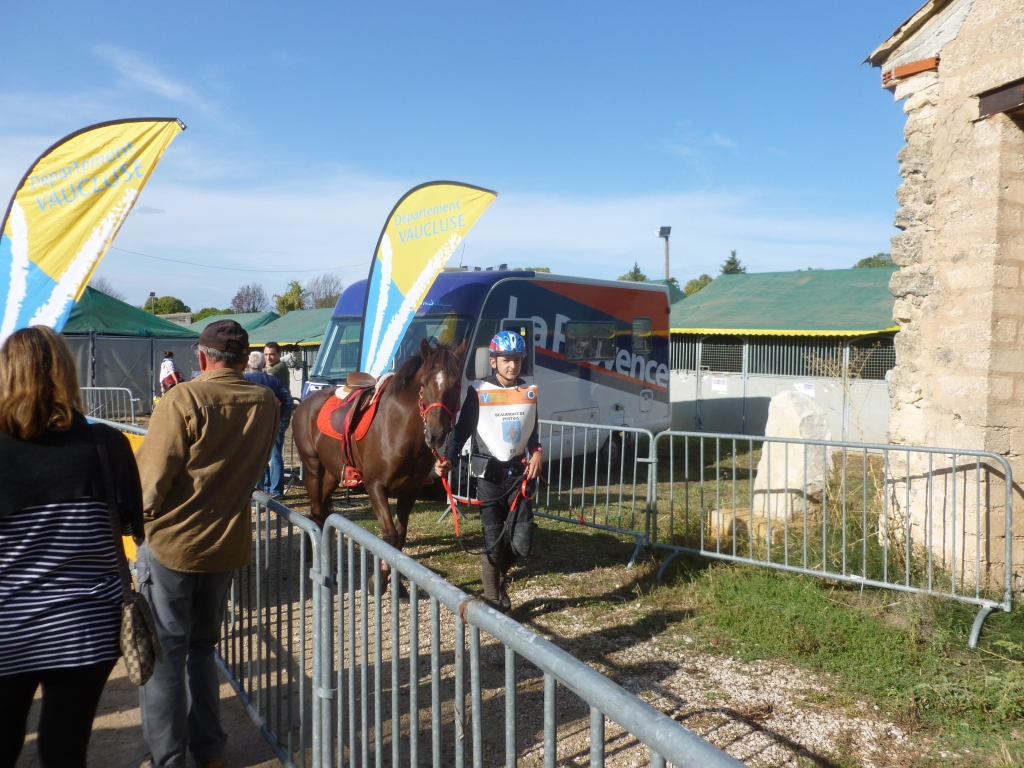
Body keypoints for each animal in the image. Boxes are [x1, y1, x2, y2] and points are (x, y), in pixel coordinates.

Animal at [292, 337, 466, 558]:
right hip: (312, 467)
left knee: (320, 511)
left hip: (333, 473)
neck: (399, 430)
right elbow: (389, 537)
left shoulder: (411, 489)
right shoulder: (375, 486)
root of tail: (306, 403)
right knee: (315, 511)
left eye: (457, 384)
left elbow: (399, 538)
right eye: (424, 384)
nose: (435, 434)